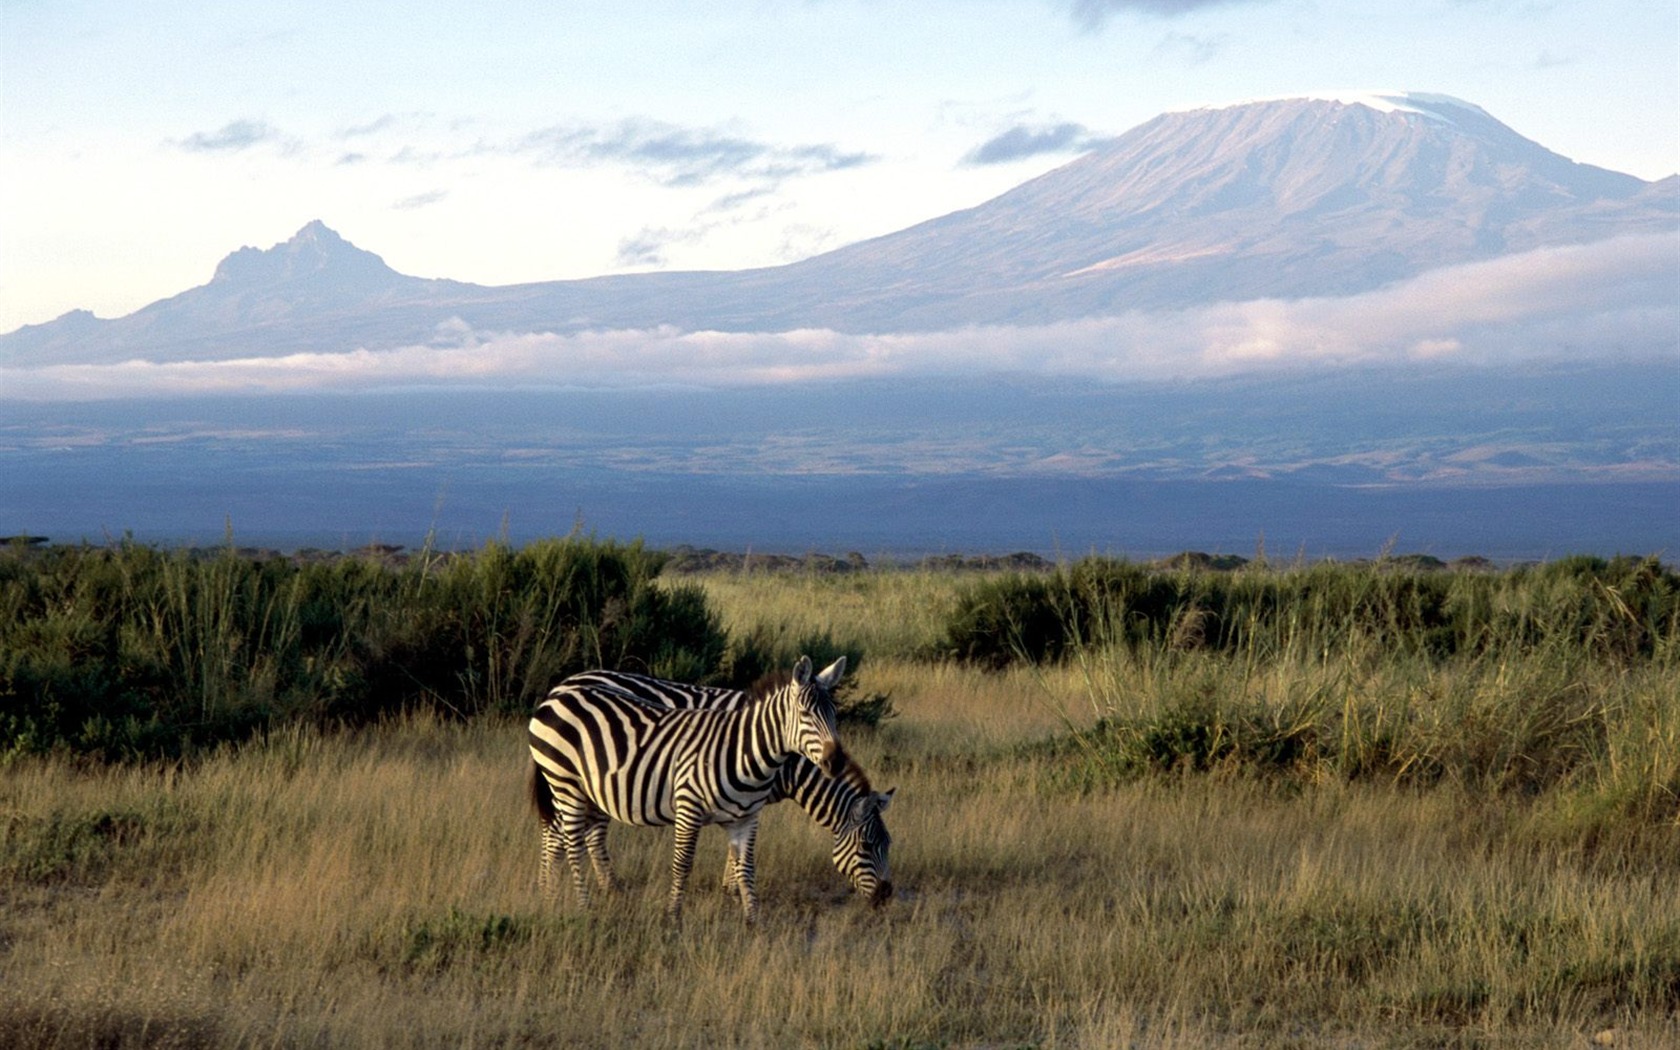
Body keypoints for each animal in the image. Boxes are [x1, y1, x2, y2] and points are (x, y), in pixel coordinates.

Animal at [530, 655, 853, 913]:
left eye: (835, 715)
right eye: (806, 714)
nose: (836, 761)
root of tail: (558, 692)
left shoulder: (746, 815)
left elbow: (746, 865)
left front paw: (750, 917)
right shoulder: (691, 807)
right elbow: (684, 864)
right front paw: (677, 915)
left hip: (582, 789)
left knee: (565, 836)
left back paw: (557, 895)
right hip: (566, 783)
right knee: (570, 841)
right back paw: (579, 903)